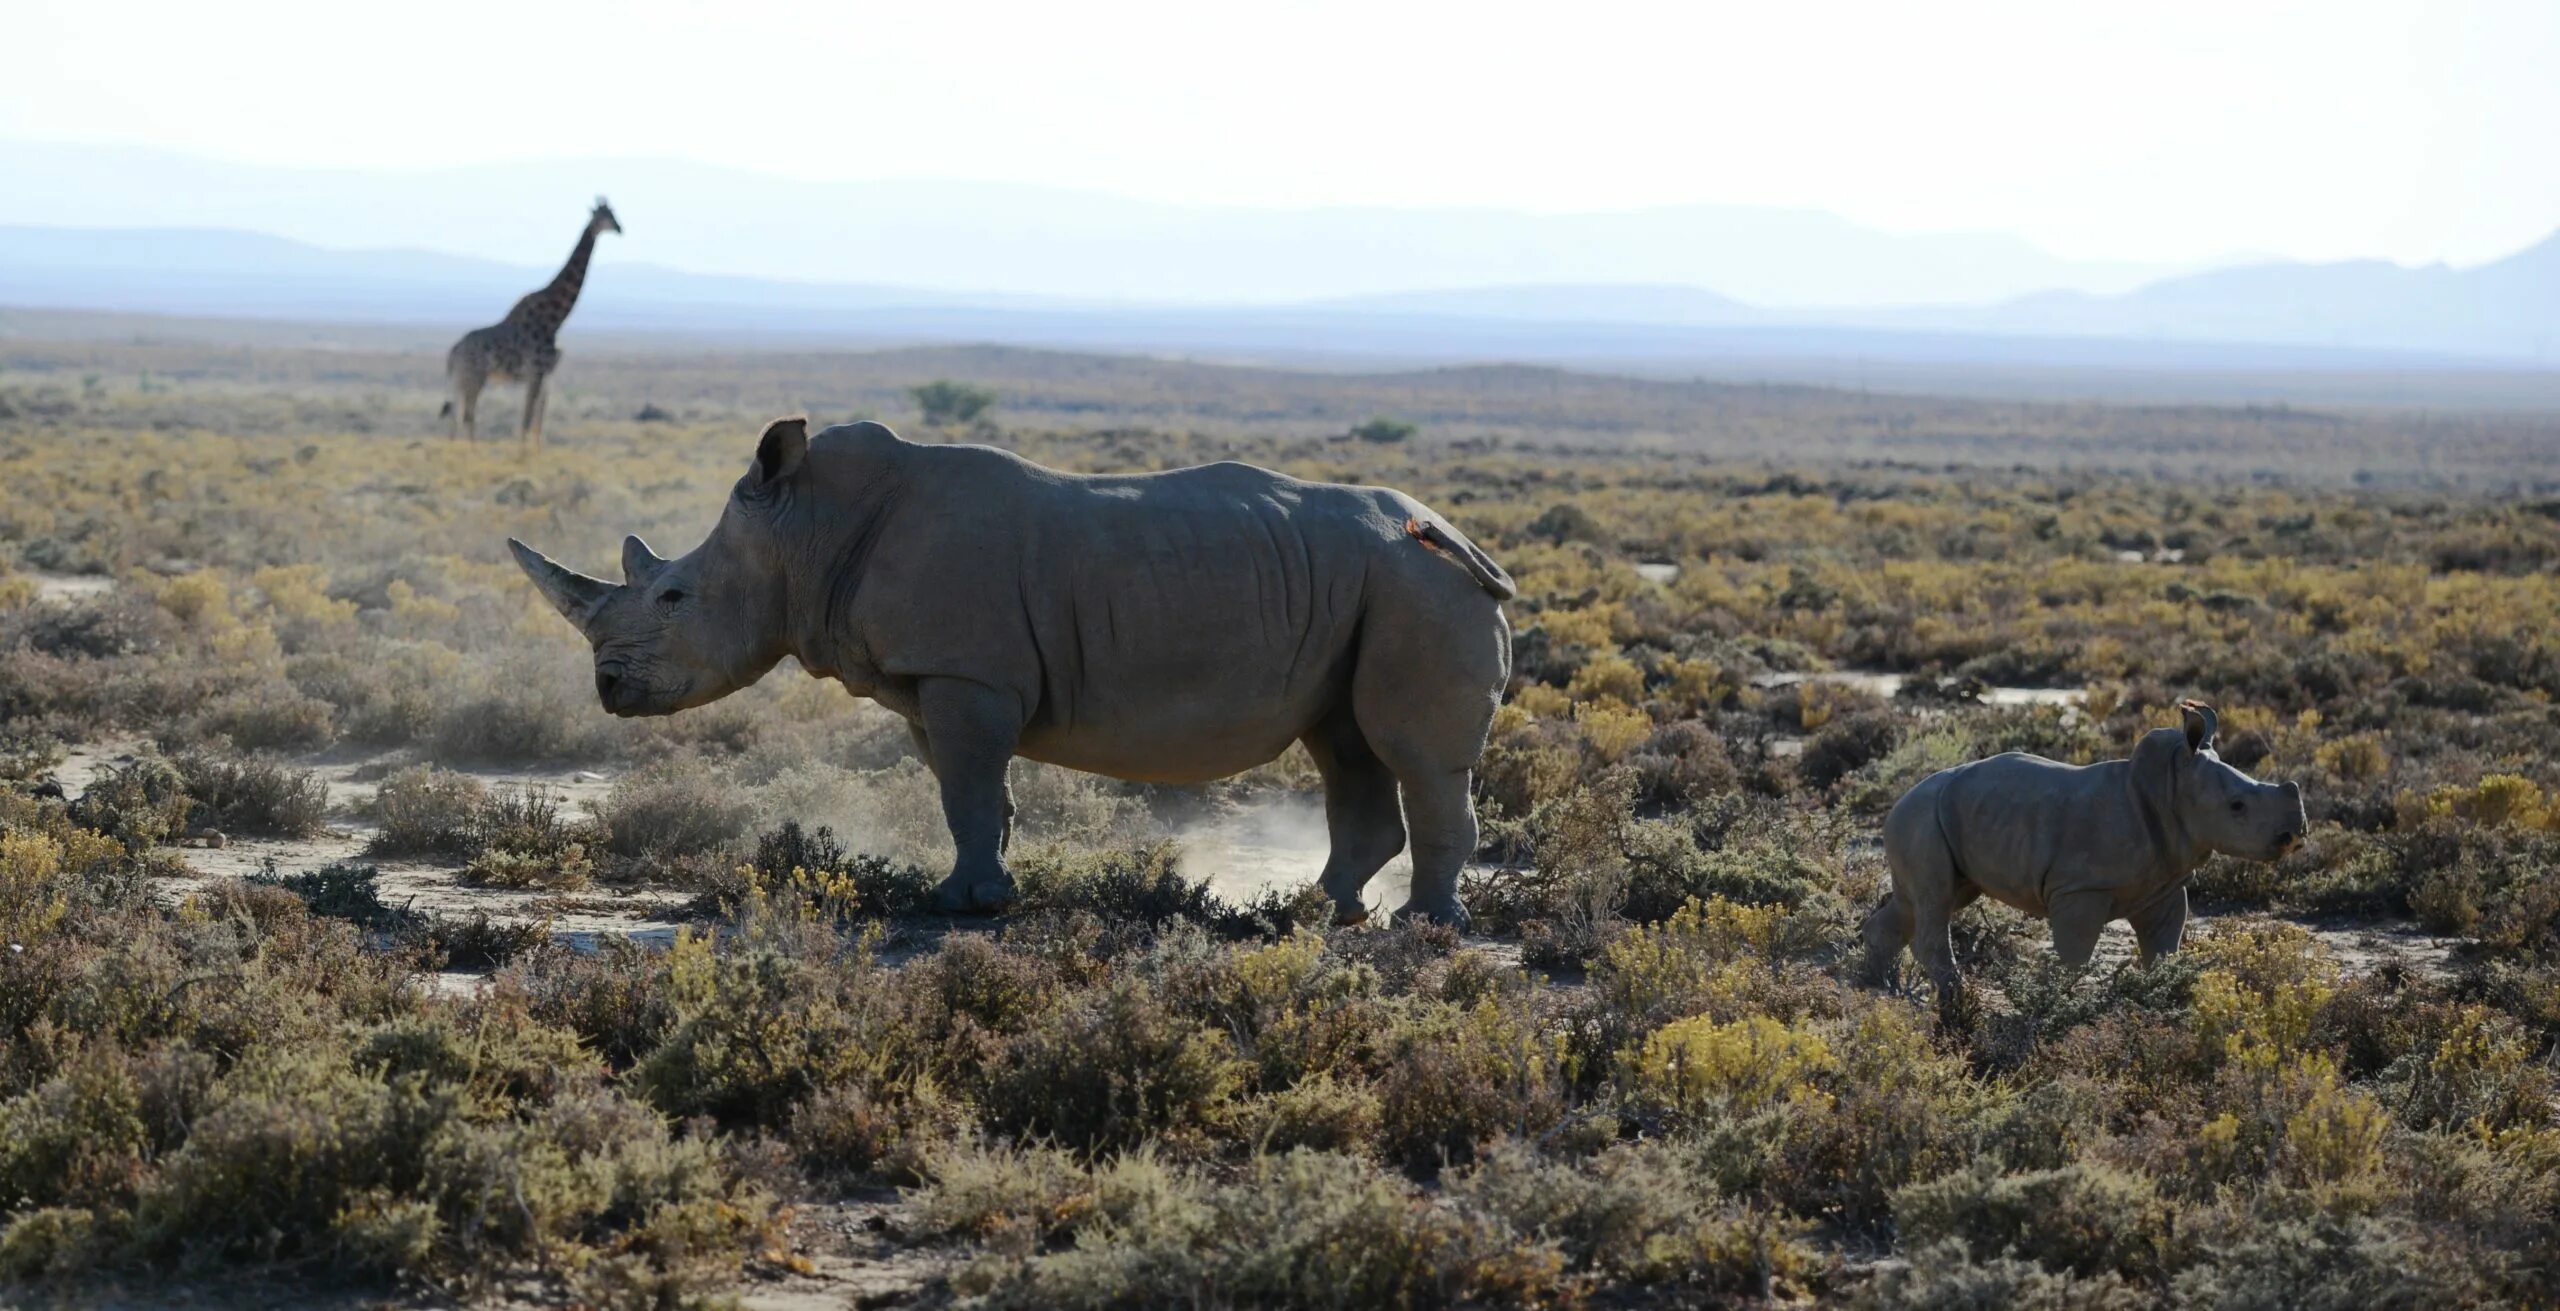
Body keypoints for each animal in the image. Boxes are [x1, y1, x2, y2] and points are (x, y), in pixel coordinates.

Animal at [440, 198, 619, 445]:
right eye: (604, 216)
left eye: (614, 214)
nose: (620, 228)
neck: (555, 319)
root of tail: (453, 352)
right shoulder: (536, 372)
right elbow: (526, 420)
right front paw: (522, 453)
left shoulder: (547, 374)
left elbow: (538, 423)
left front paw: (536, 451)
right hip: (474, 377)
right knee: (467, 415)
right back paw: (472, 450)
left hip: (460, 379)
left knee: (455, 416)